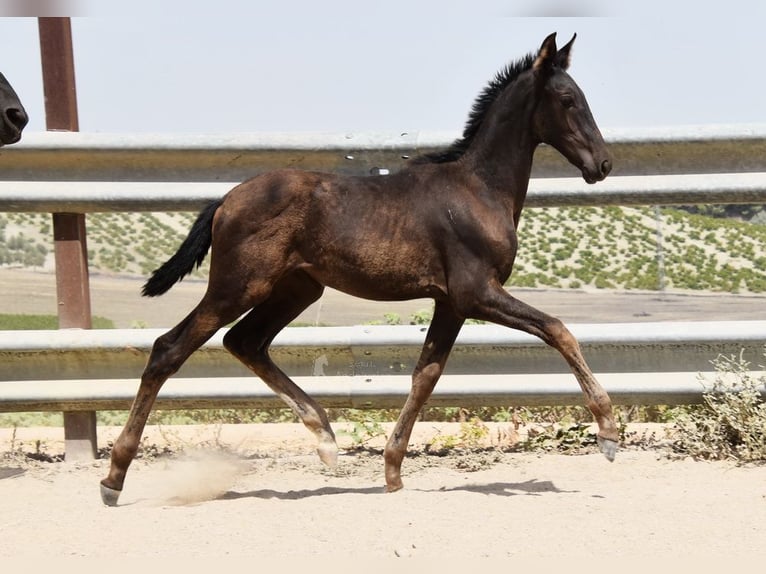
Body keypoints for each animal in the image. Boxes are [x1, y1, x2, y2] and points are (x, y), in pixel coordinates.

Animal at [100, 32, 617, 506]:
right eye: (568, 99)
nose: (604, 164)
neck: (478, 190)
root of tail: (226, 200)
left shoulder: (450, 303)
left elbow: (426, 375)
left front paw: (392, 470)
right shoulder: (477, 293)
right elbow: (558, 329)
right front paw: (608, 432)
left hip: (297, 290)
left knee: (244, 341)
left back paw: (326, 440)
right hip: (238, 286)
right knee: (169, 349)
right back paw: (113, 477)